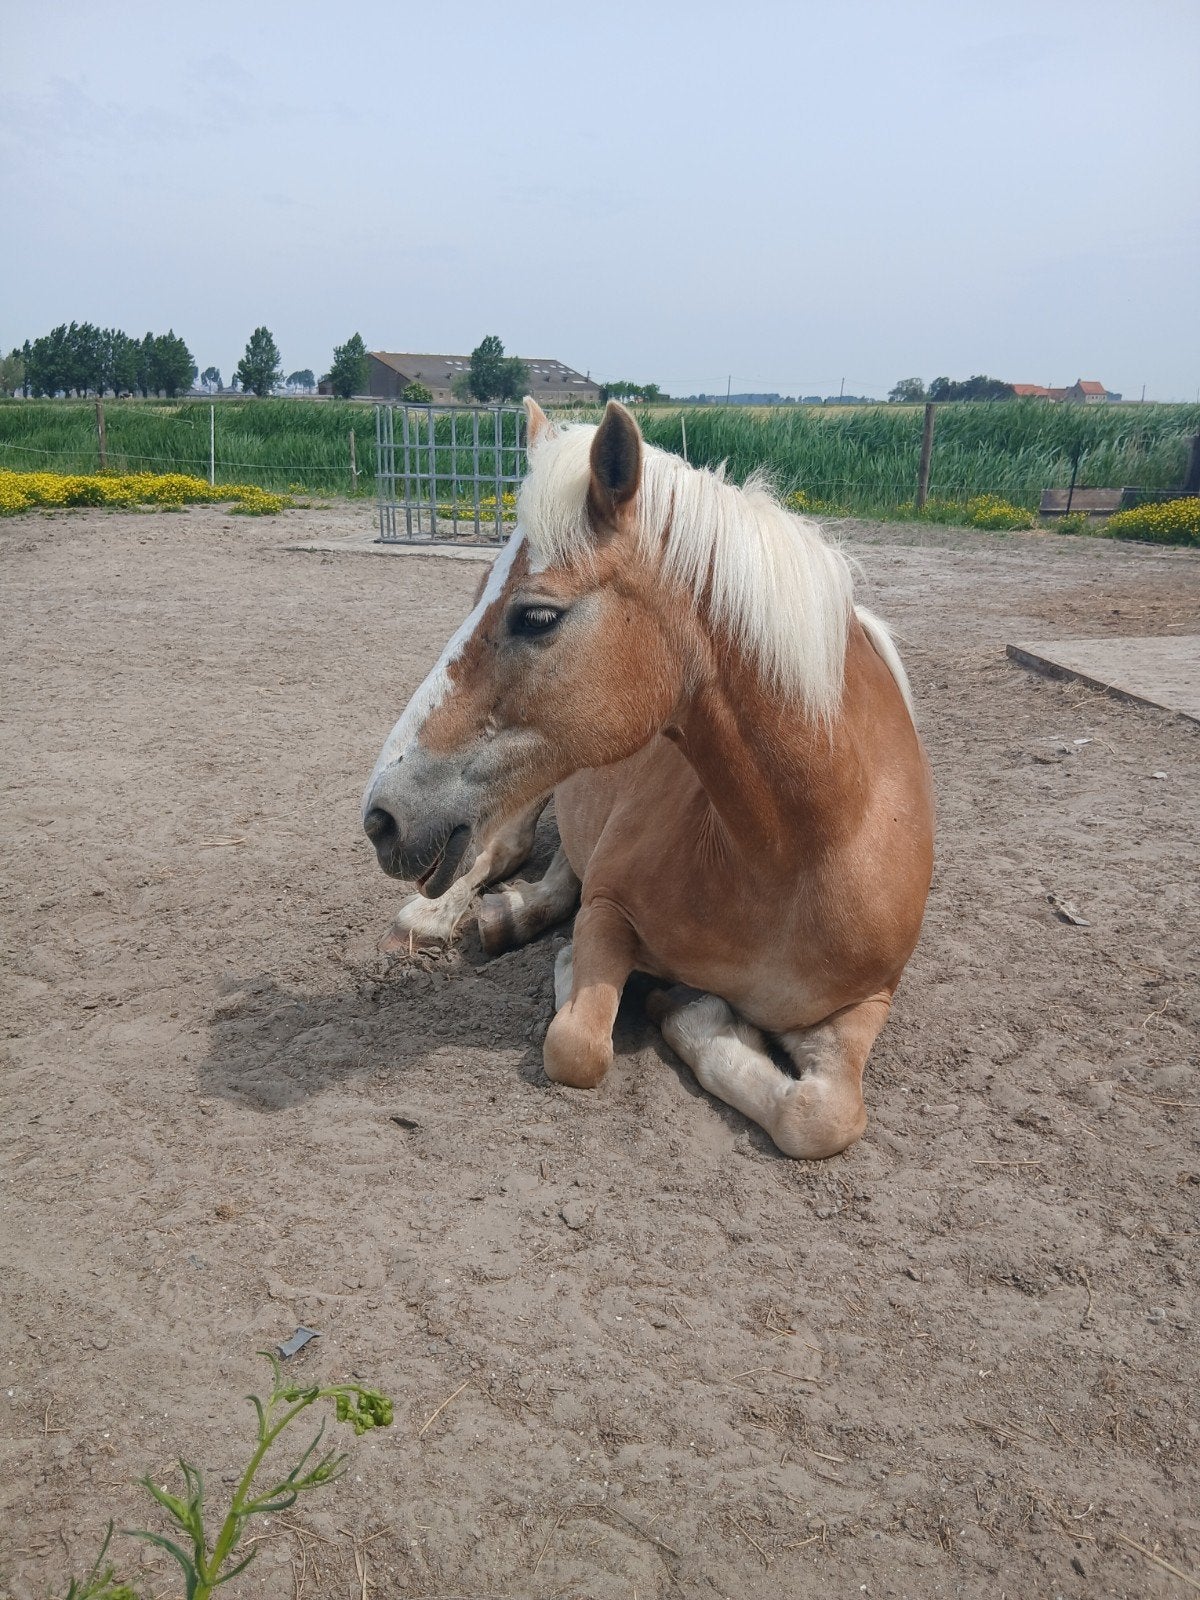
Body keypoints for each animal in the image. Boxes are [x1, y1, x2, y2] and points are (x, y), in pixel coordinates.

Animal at [363, 399, 934, 1159]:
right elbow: (577, 1045)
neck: (804, 848)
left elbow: (823, 1118)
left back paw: (512, 913)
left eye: (536, 615)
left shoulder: (867, 1000)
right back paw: (457, 914)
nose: (382, 818)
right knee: (501, 851)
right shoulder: (610, 908)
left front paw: (704, 1020)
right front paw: (667, 1006)